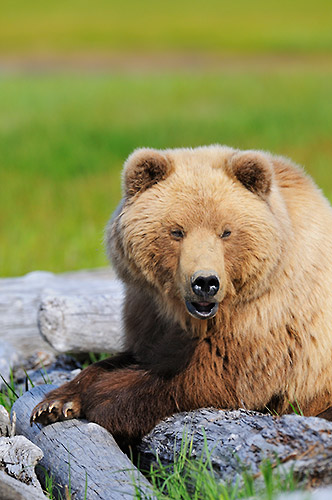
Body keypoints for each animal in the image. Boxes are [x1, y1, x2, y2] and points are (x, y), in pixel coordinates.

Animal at [30, 146, 332, 444]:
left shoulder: (272, 322)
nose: (205, 282)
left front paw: (99, 398)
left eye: (226, 232)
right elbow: (136, 353)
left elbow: (208, 375)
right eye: (176, 231)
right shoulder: (150, 311)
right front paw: (57, 402)